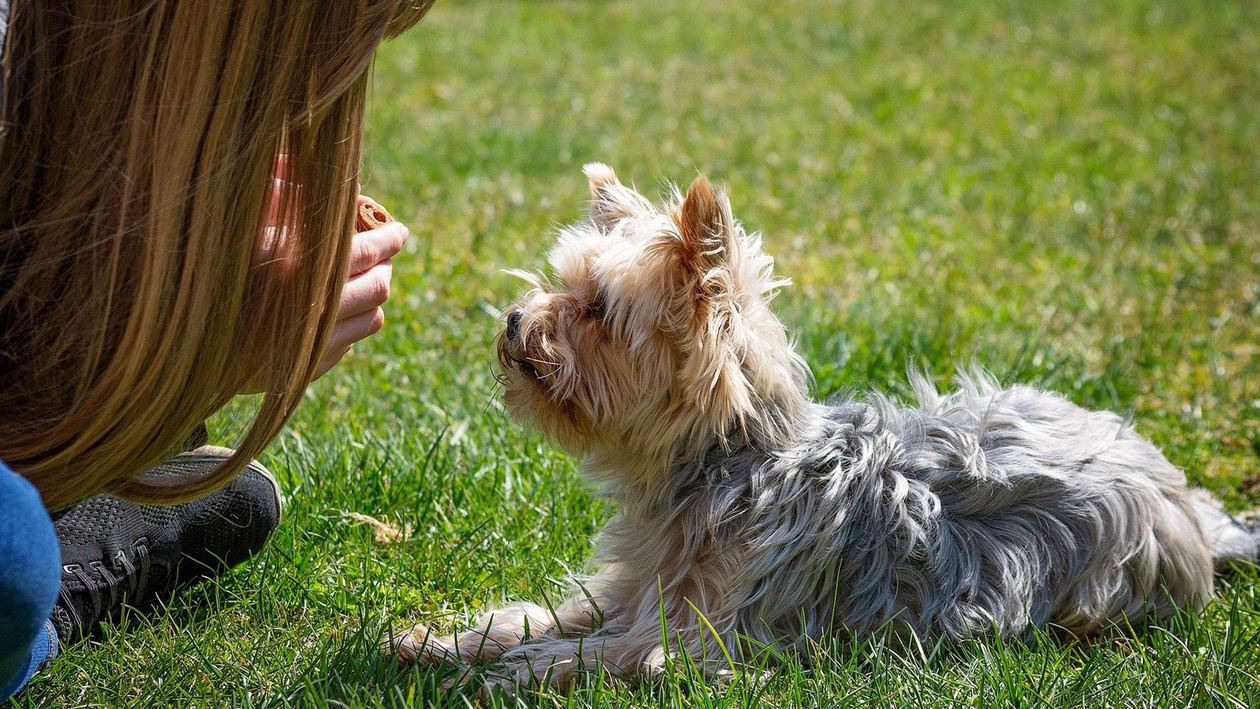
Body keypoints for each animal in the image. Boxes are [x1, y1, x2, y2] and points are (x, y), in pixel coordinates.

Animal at [390, 163, 1249, 690]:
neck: (727, 465)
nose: (513, 321)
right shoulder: (637, 586)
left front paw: (511, 671)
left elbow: (613, 650)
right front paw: (444, 641)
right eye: (557, 283)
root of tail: (1191, 508)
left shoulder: (713, 637)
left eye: (596, 308)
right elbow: (548, 613)